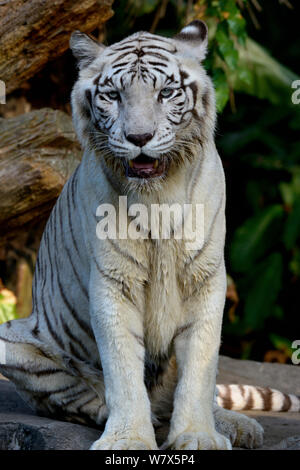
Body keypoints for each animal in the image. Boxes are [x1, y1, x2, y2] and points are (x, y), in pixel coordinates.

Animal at [0, 20, 298, 450]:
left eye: (166, 93)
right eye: (113, 95)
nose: (139, 137)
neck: (159, 197)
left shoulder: (207, 278)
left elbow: (200, 367)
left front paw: (198, 435)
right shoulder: (113, 282)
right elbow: (123, 371)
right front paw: (127, 439)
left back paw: (235, 425)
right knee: (81, 396)